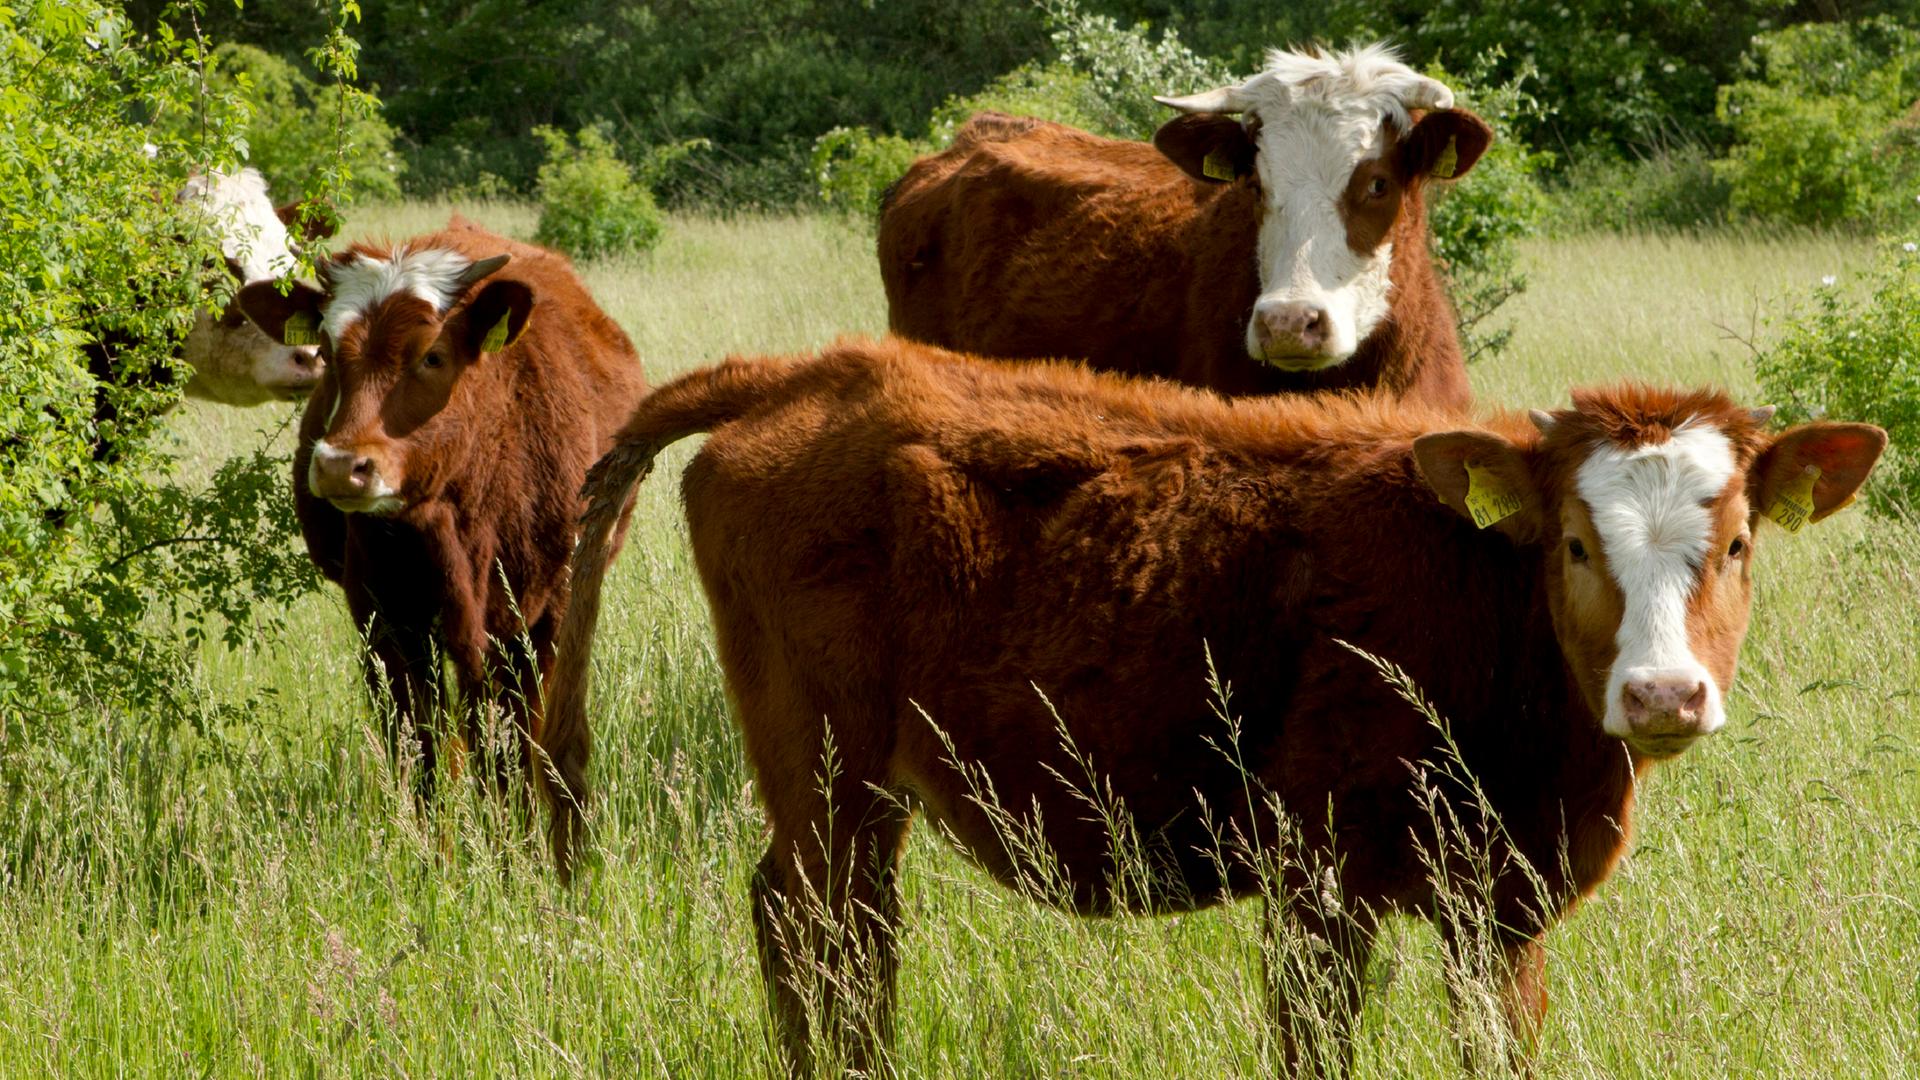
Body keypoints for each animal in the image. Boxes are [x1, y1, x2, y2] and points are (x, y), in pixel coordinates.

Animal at [237, 218, 648, 820]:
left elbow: (512, 745)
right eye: (329, 354)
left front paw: (516, 834)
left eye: (432, 355)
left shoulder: (539, 620)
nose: (340, 467)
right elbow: (419, 748)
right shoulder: (383, 622)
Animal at [542, 336, 1885, 1073]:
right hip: (829, 776)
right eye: (1572, 543)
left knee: (846, 939)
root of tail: (812, 372)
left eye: (1739, 542)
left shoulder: (1501, 904)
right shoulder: (1316, 884)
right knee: (814, 933)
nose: (1664, 692)